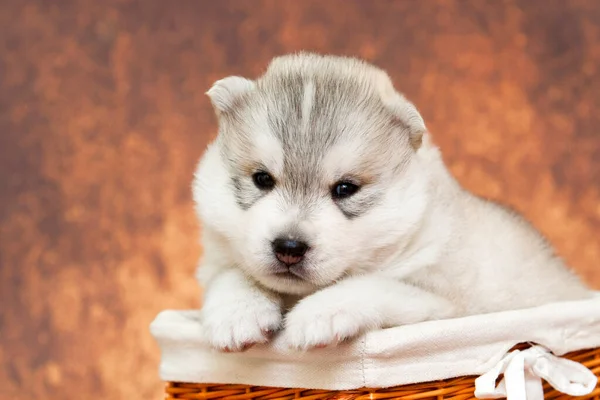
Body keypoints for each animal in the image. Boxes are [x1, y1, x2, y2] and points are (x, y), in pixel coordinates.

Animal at [192, 51, 592, 352]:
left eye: (345, 189)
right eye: (262, 179)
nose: (289, 247)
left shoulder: (442, 303)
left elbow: (371, 285)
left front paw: (318, 314)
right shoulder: (218, 260)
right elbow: (232, 273)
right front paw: (237, 313)